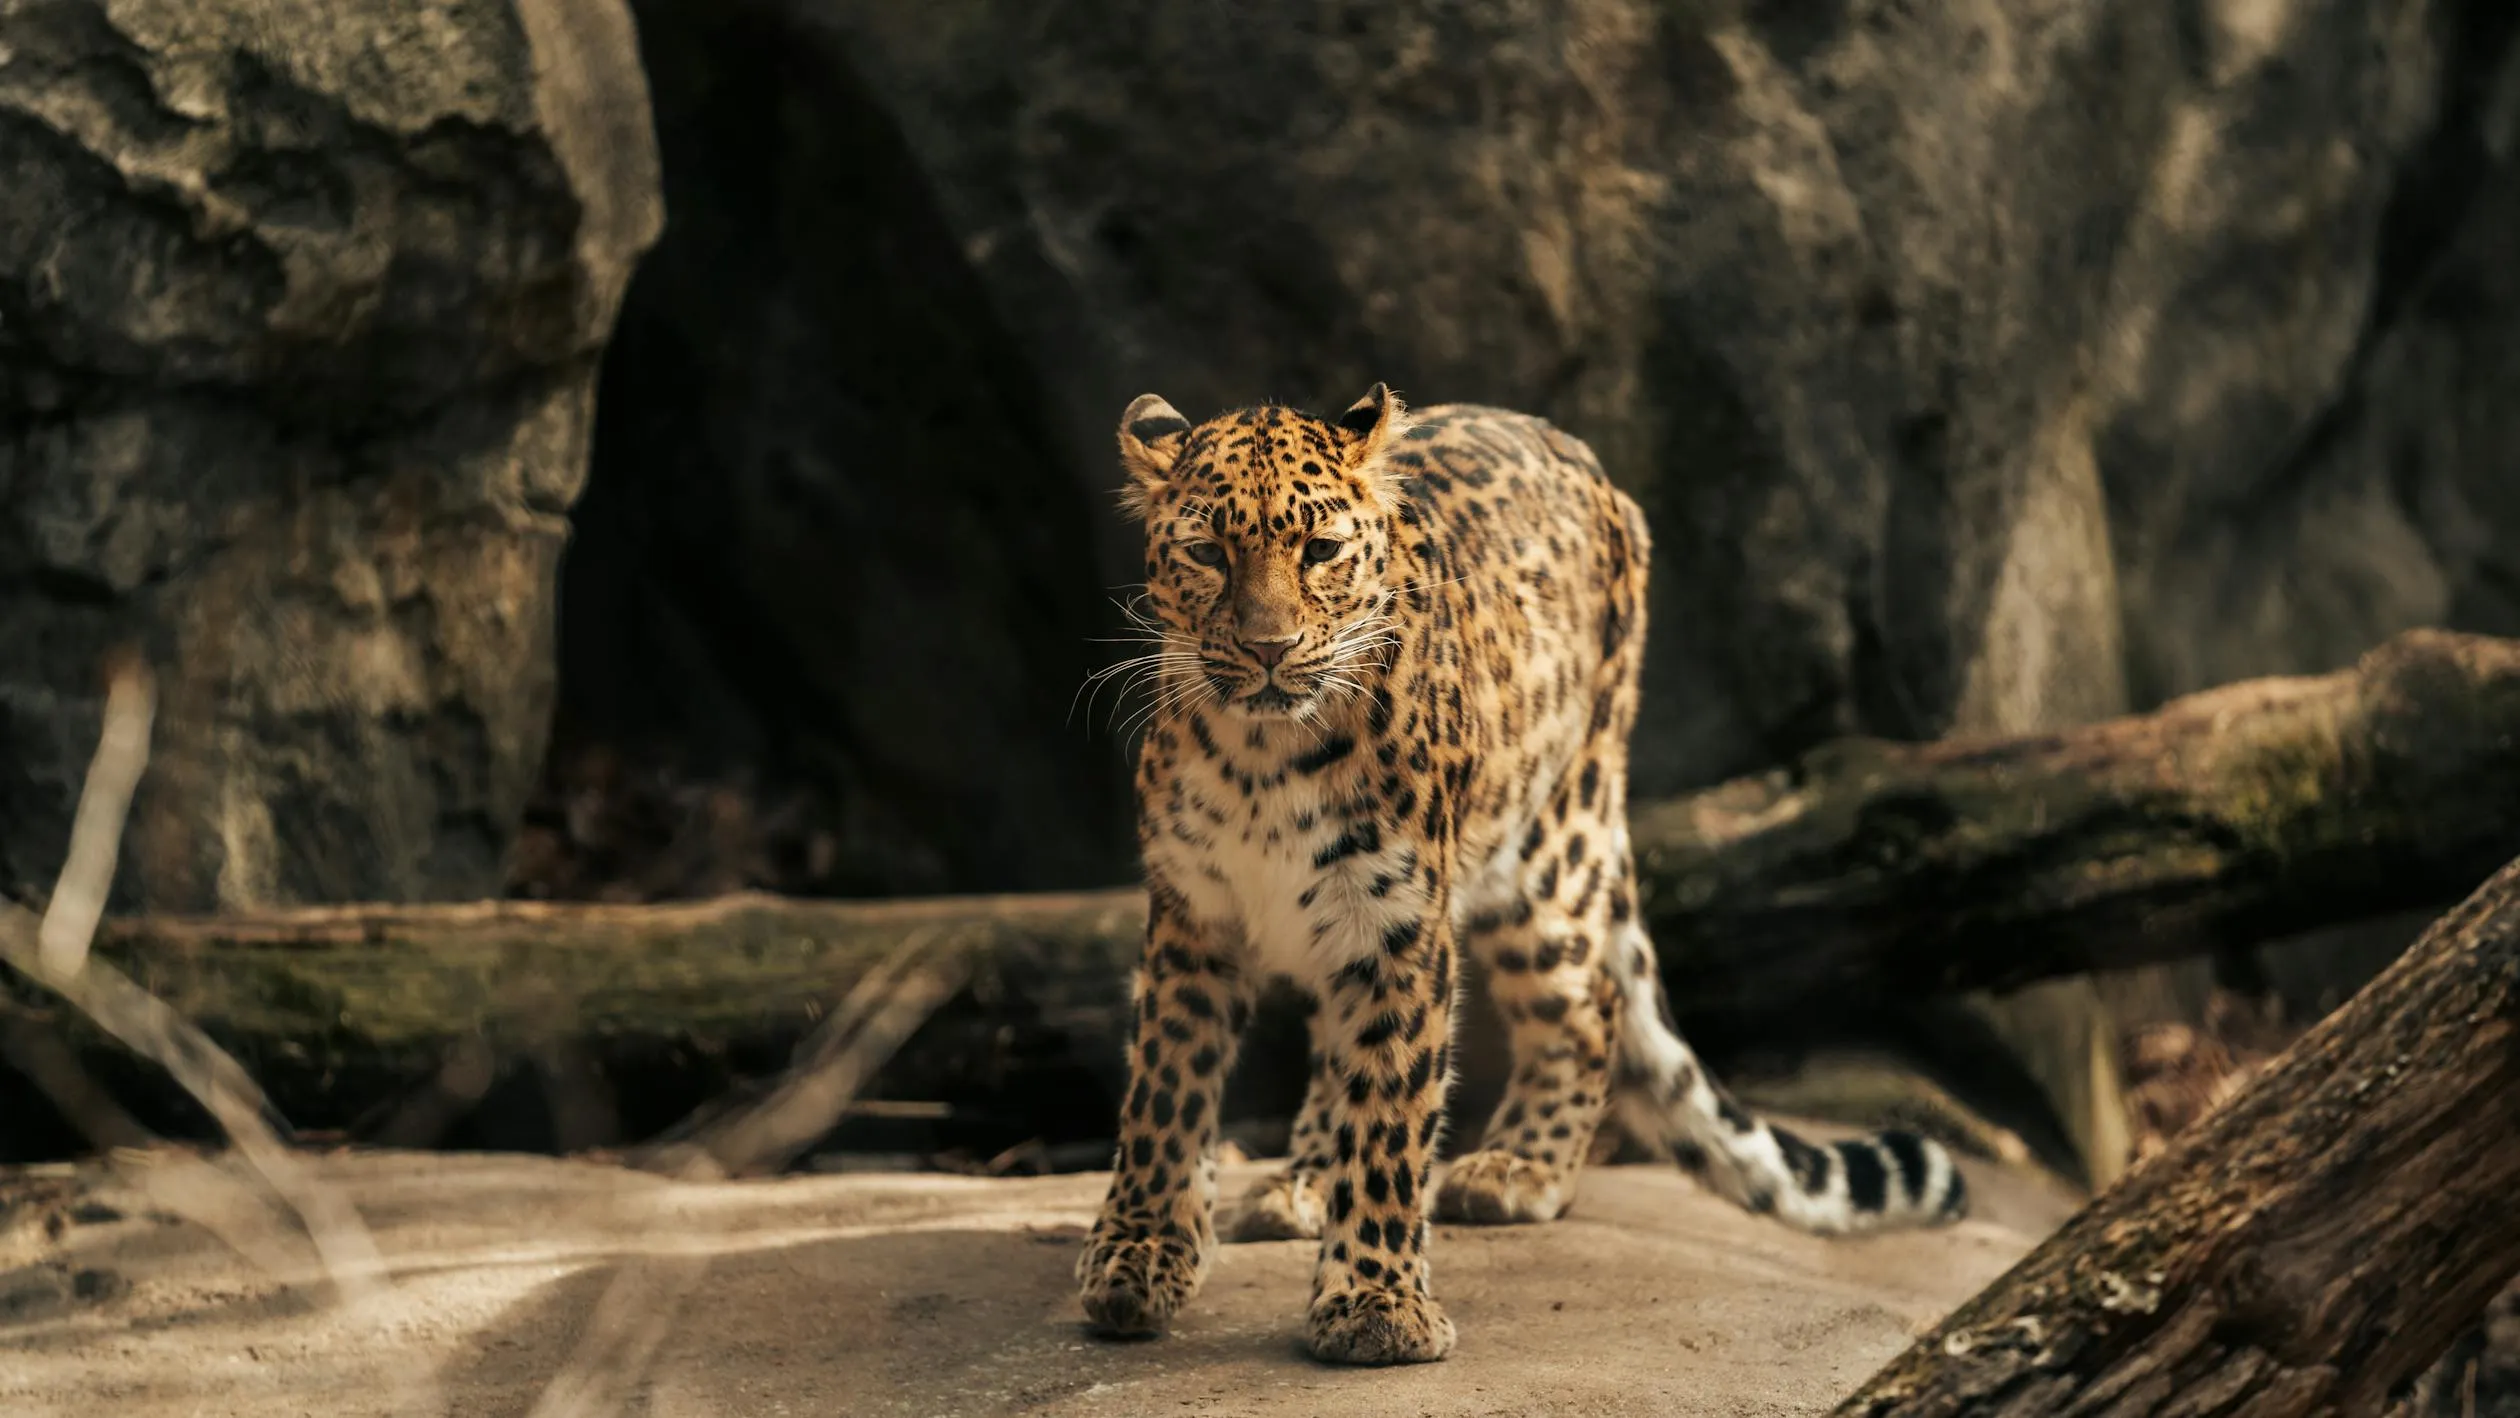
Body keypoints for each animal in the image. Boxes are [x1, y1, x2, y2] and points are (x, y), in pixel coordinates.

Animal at [1074, 384, 1969, 1367]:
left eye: (1319, 551)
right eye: (1206, 554)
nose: (1270, 648)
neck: (1263, 755)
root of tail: (1587, 462)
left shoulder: (1398, 922)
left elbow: (1389, 1110)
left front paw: (1376, 1304)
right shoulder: (1191, 916)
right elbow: (1165, 1094)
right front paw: (1137, 1260)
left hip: (1550, 847)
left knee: (1589, 1004)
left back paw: (1520, 1165)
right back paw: (1299, 1181)